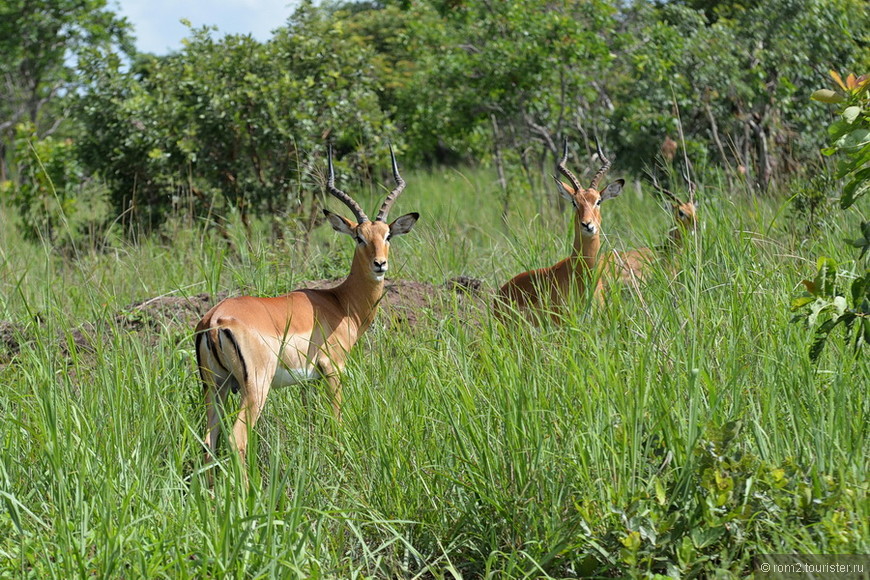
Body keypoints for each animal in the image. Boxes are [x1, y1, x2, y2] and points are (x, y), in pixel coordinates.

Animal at [196, 145, 420, 476]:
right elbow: (337, 421)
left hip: (216, 388)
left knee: (208, 442)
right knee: (237, 438)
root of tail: (214, 320)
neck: (339, 302)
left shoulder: (306, 381)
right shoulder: (333, 369)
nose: (380, 264)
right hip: (254, 388)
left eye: (387, 235)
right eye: (359, 237)